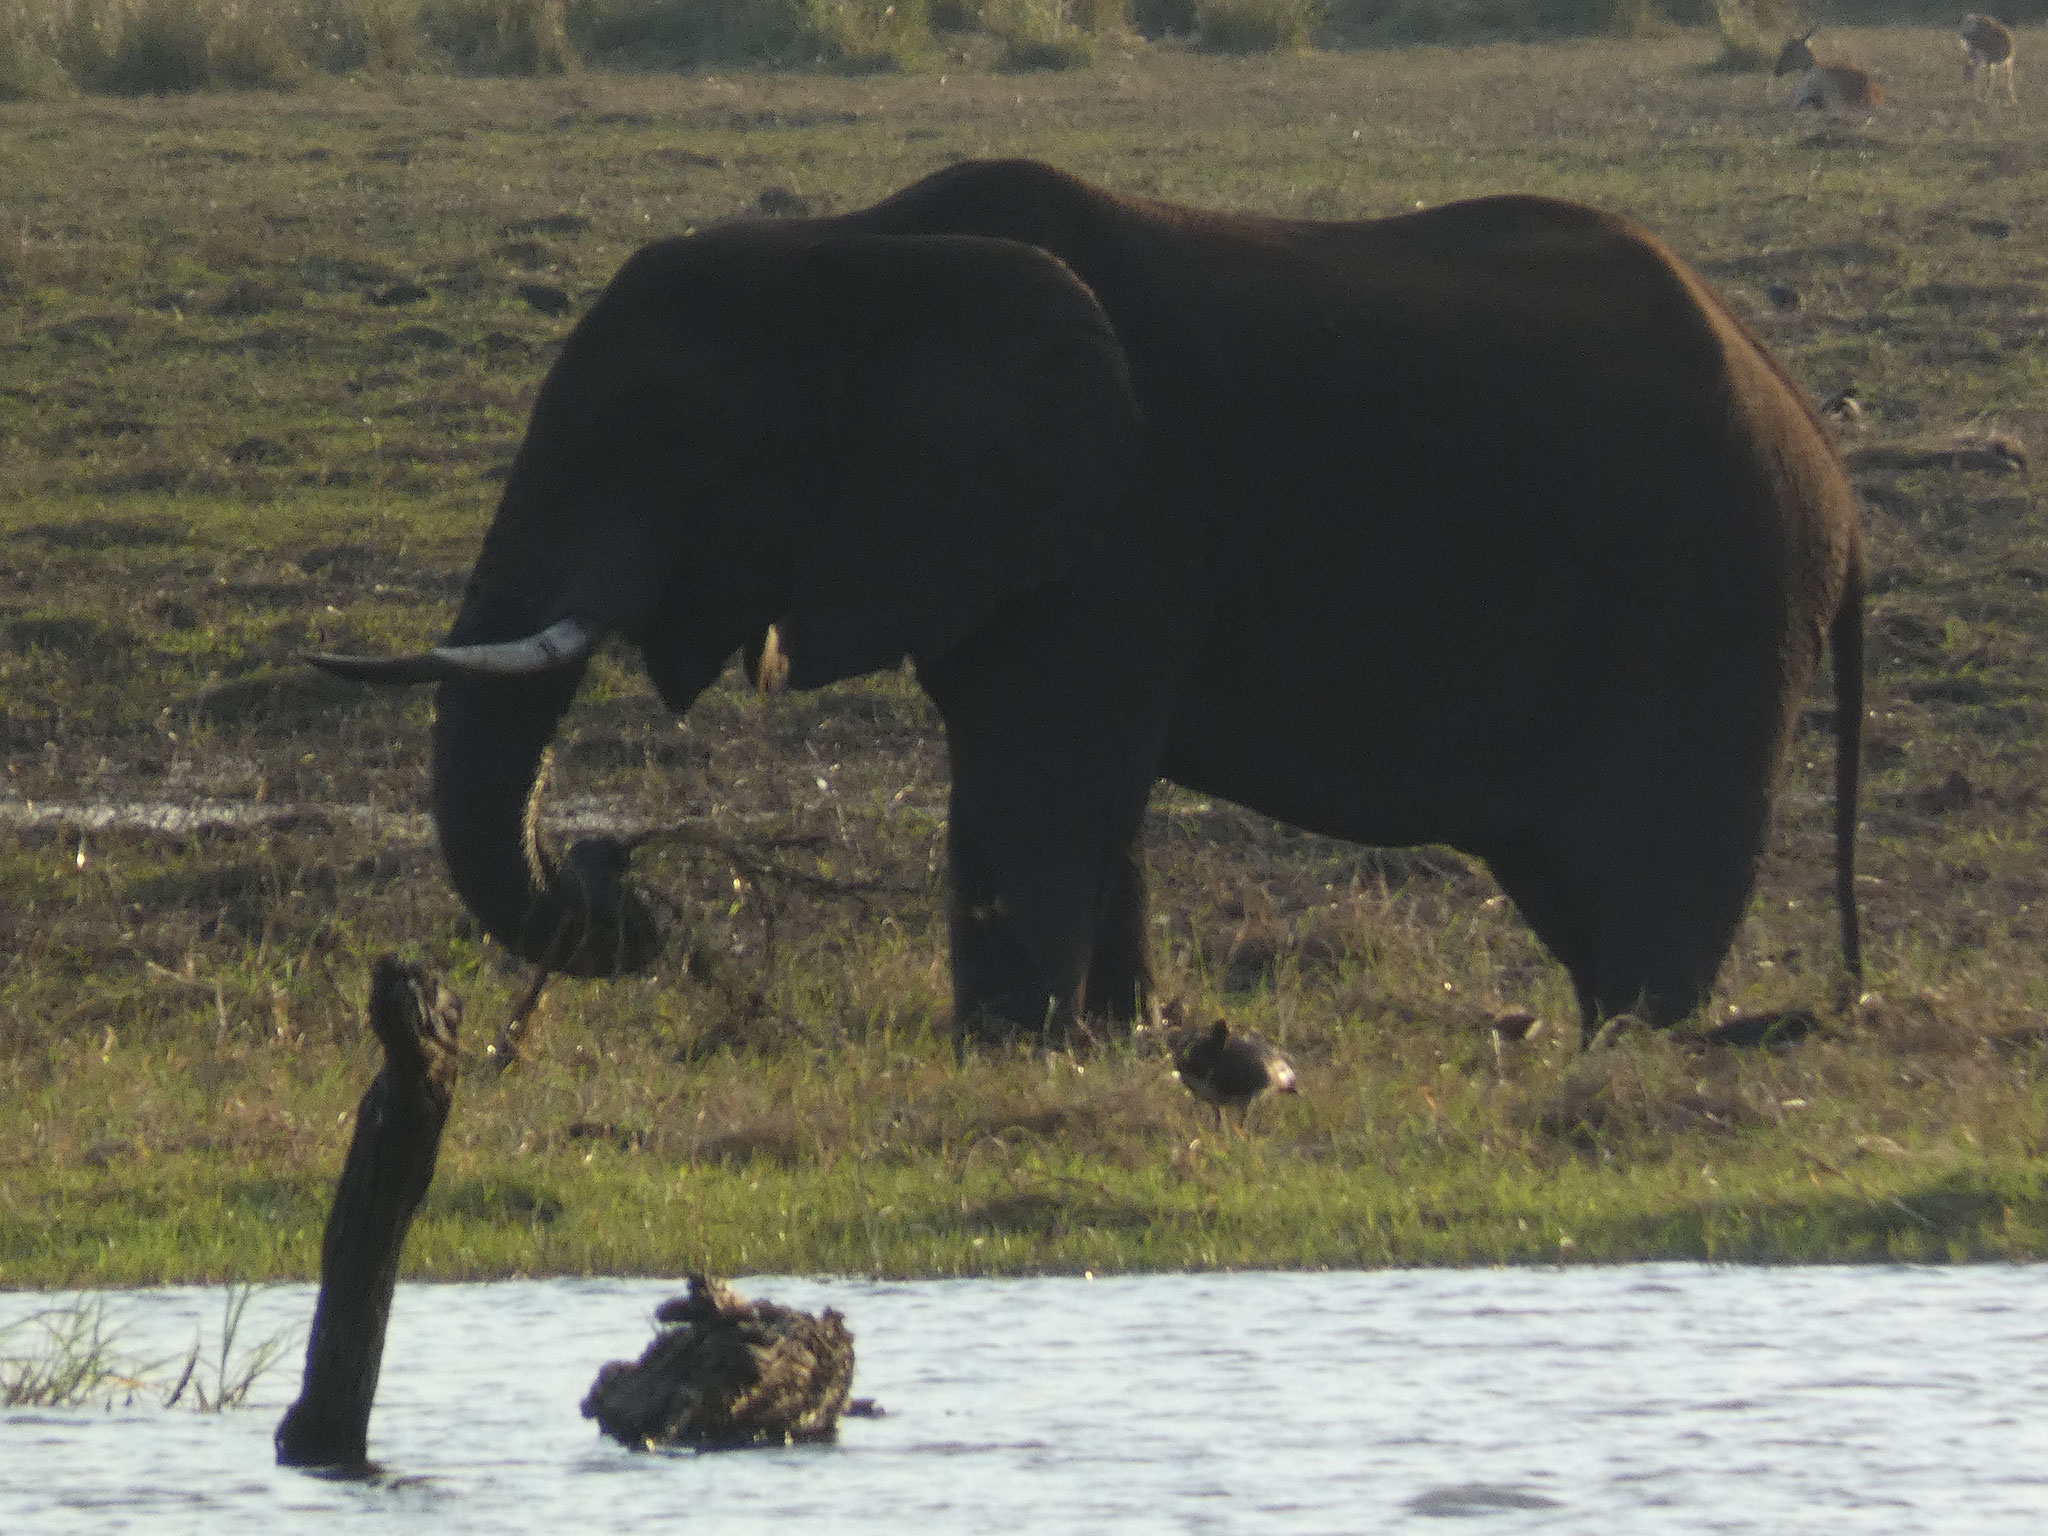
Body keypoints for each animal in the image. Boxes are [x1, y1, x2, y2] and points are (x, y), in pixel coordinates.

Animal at [311, 159, 1867, 1048]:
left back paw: (1640, 1052)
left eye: (663, 440)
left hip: (1715, 599)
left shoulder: (1119, 516)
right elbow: (1085, 795)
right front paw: (1117, 1044)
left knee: (1657, 882)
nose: (628, 899)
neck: (856, 253)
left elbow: (1048, 777)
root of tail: (1826, 455)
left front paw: (1011, 1055)